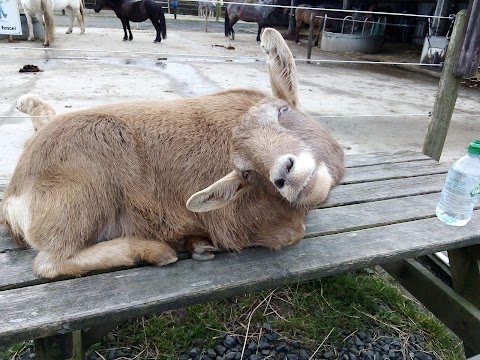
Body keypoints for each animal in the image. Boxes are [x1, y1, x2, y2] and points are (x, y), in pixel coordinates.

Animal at [1, 29, 344, 280]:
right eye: (246, 170)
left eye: (283, 110)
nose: (286, 173)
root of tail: (14, 195)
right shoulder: (246, 226)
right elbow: (293, 233)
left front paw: (197, 243)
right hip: (85, 197)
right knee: (49, 263)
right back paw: (155, 251)